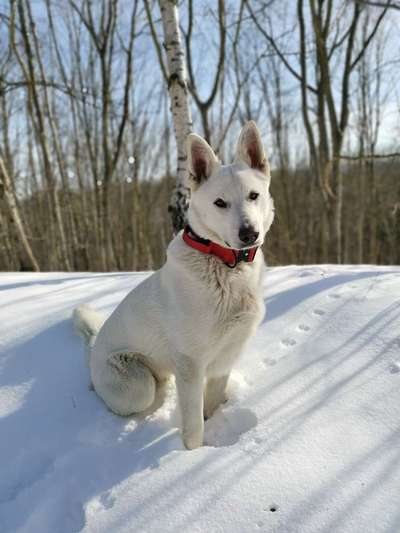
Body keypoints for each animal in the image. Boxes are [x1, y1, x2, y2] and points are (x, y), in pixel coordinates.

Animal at [73, 121, 276, 448]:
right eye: (220, 203)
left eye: (253, 195)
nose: (249, 234)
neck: (224, 265)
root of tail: (93, 348)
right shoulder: (191, 364)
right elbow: (193, 426)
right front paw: (192, 454)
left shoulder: (225, 358)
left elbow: (211, 405)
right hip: (137, 386)